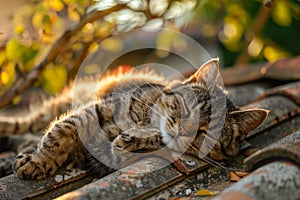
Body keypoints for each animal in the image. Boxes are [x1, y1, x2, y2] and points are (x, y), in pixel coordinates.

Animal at [0, 58, 268, 180]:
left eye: (204, 133)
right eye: (187, 108)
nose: (183, 130)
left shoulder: (102, 154)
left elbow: (122, 147)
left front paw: (133, 140)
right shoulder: (96, 109)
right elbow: (60, 131)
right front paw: (39, 161)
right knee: (26, 124)